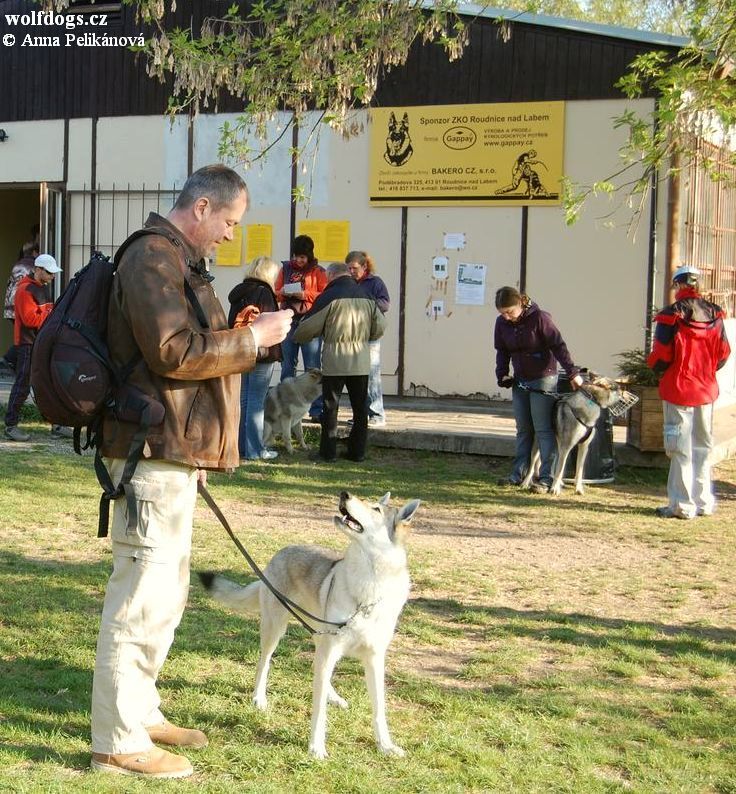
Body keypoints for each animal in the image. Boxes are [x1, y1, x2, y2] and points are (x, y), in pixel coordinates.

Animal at [200, 488, 420, 756]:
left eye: (376, 509)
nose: (345, 494)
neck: (368, 587)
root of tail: (281, 551)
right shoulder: (331, 648)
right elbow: (319, 711)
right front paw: (316, 748)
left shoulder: (374, 658)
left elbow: (379, 709)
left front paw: (386, 746)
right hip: (276, 630)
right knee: (264, 663)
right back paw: (259, 699)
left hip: (318, 636)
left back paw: (333, 697)